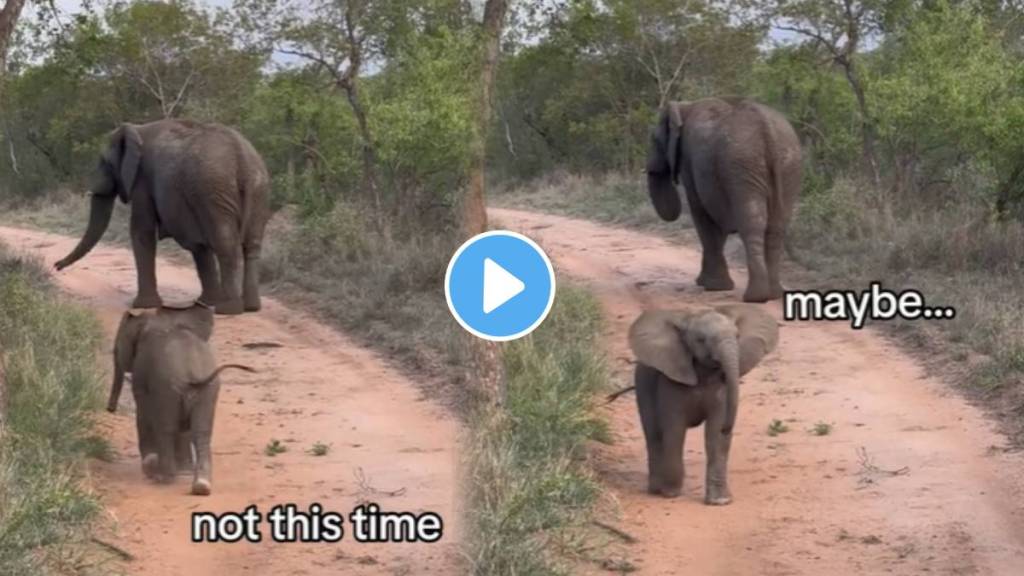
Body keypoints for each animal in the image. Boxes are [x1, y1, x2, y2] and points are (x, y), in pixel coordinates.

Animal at [54, 117, 272, 313]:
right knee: (251, 245)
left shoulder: (142, 180)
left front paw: (142, 306)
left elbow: (141, 231)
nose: (56, 266)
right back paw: (251, 307)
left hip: (214, 190)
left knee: (226, 243)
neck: (137, 129)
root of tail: (242, 157)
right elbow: (198, 246)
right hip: (257, 189)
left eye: (106, 163)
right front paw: (204, 302)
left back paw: (228, 309)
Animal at [108, 301, 253, 494]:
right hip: (206, 390)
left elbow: (143, 409)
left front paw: (150, 465)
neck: (160, 319)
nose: (110, 409)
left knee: (166, 428)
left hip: (169, 388)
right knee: (202, 432)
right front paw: (183, 471)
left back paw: (165, 478)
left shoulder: (142, 372)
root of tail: (191, 374)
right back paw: (201, 486)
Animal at [622, 301, 774, 502]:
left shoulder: (721, 387)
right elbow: (674, 430)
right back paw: (655, 490)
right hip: (642, 386)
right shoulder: (672, 381)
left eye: (737, 336)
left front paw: (720, 501)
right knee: (654, 434)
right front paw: (670, 493)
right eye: (700, 340)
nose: (728, 428)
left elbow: (714, 434)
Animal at [647, 96, 798, 301]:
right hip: (787, 165)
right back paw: (774, 294)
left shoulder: (688, 159)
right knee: (776, 226)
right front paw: (706, 283)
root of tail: (767, 128)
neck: (685, 107)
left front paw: (713, 287)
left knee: (752, 222)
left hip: (742, 165)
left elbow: (701, 212)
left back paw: (756, 297)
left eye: (654, 139)